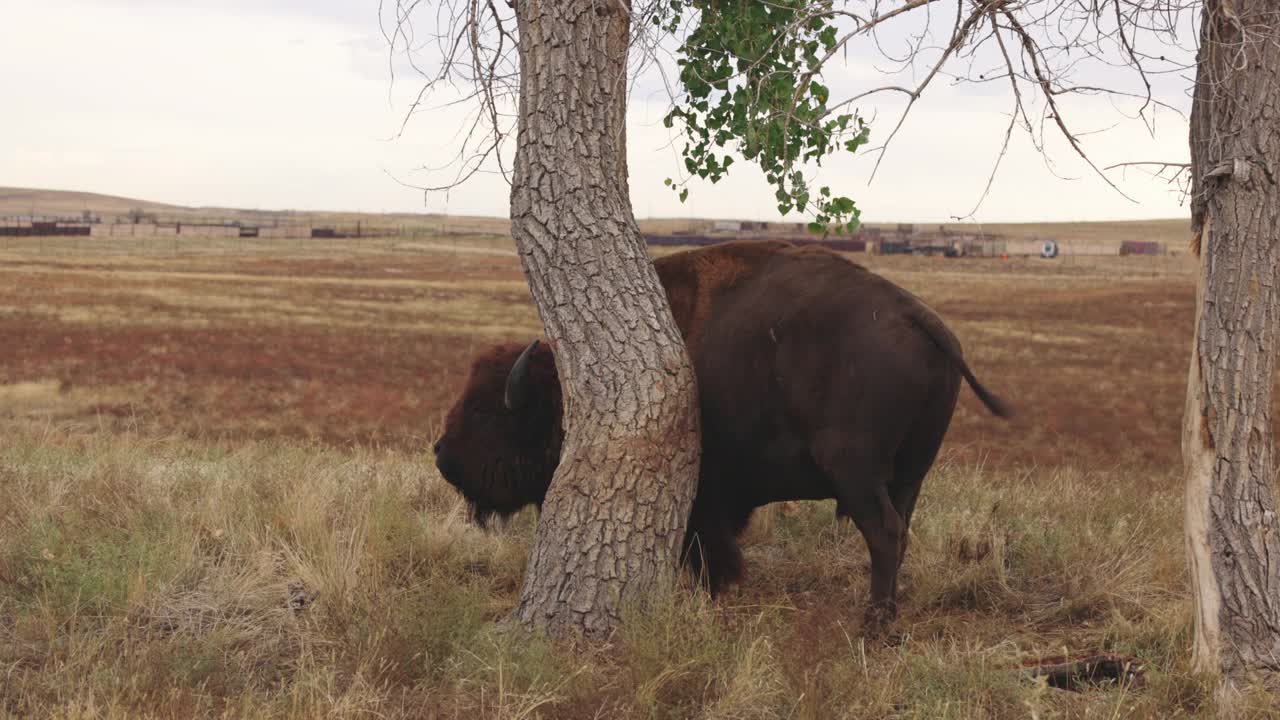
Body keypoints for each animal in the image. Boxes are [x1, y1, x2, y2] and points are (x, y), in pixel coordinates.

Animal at [432, 239, 1008, 622]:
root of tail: (919, 320)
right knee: (902, 527)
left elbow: (710, 548)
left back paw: (875, 622)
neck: (564, 391)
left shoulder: (705, 496)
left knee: (885, 531)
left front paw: (714, 591)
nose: (442, 457)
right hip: (911, 470)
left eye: (488, 412)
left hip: (856, 471)